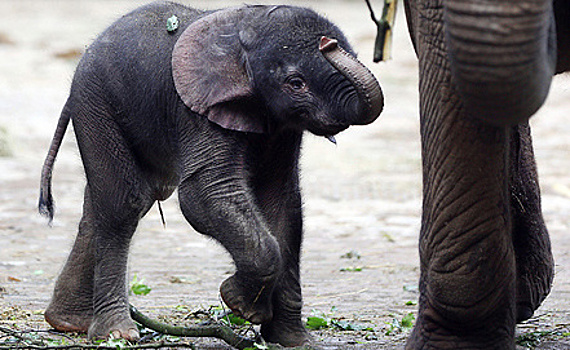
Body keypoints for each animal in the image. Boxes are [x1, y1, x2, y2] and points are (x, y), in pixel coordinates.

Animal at [40, 0, 382, 348]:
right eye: (296, 83)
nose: (329, 44)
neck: (246, 31)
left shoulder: (282, 127)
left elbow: (283, 204)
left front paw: (294, 340)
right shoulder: (197, 108)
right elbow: (204, 194)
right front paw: (240, 305)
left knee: (113, 204)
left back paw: (68, 322)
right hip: (96, 103)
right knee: (124, 204)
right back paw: (116, 332)